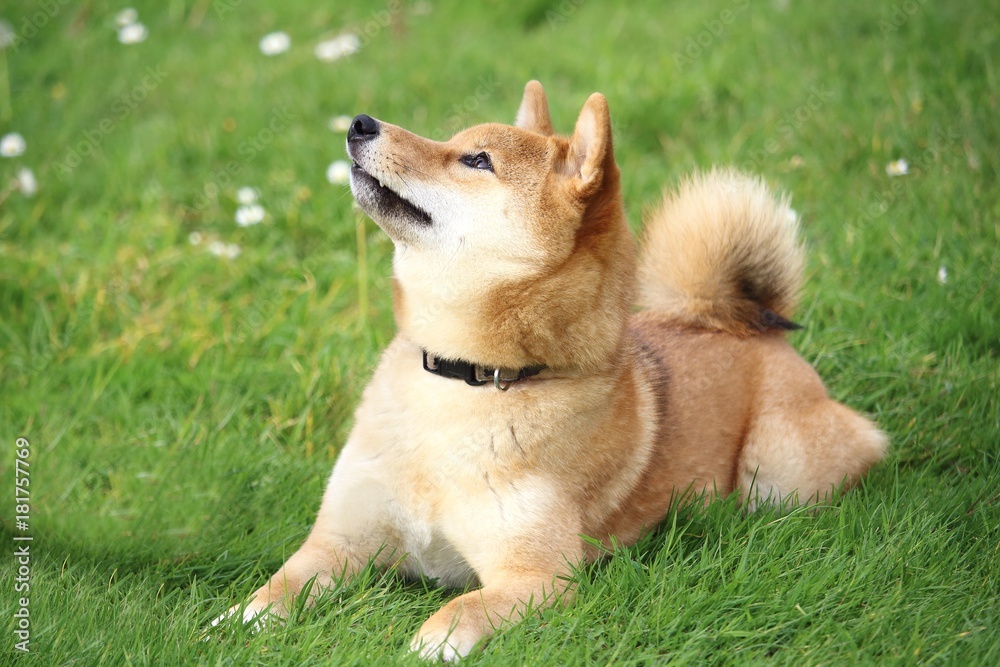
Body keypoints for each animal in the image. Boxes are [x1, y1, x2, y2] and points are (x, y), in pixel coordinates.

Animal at [217, 81, 884, 660]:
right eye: (454, 141)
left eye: (476, 160)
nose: (360, 122)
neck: (465, 379)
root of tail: (741, 322)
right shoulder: (339, 540)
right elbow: (275, 588)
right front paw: (231, 623)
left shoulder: (539, 575)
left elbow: (459, 610)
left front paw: (430, 642)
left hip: (776, 472)